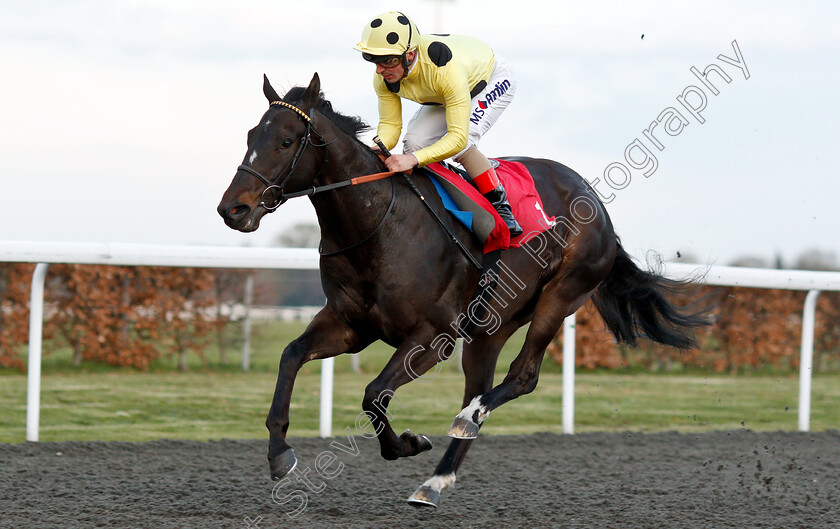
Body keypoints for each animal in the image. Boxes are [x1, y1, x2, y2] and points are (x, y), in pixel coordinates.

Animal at [217, 72, 708, 506]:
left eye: (285, 141)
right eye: (250, 135)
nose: (232, 209)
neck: (379, 224)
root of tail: (597, 204)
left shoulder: (432, 337)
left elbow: (374, 393)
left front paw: (408, 442)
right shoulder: (348, 324)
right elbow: (291, 355)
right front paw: (280, 454)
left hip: (561, 295)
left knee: (520, 378)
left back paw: (466, 421)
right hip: (490, 329)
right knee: (481, 387)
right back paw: (434, 482)